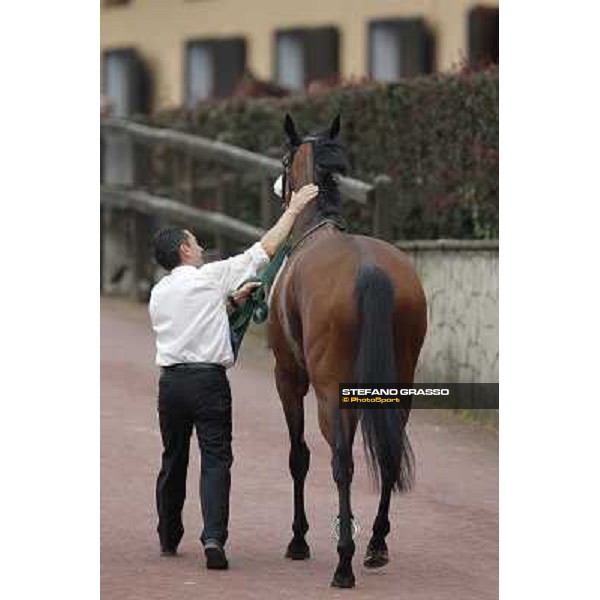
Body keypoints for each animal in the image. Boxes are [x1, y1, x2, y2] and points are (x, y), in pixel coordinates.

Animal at [268, 115, 426, 588]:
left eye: (284, 159)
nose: (278, 186)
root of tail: (370, 269)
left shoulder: (289, 379)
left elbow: (299, 456)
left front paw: (298, 540)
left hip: (327, 392)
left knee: (341, 462)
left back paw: (343, 562)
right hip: (397, 388)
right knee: (388, 458)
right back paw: (375, 545)